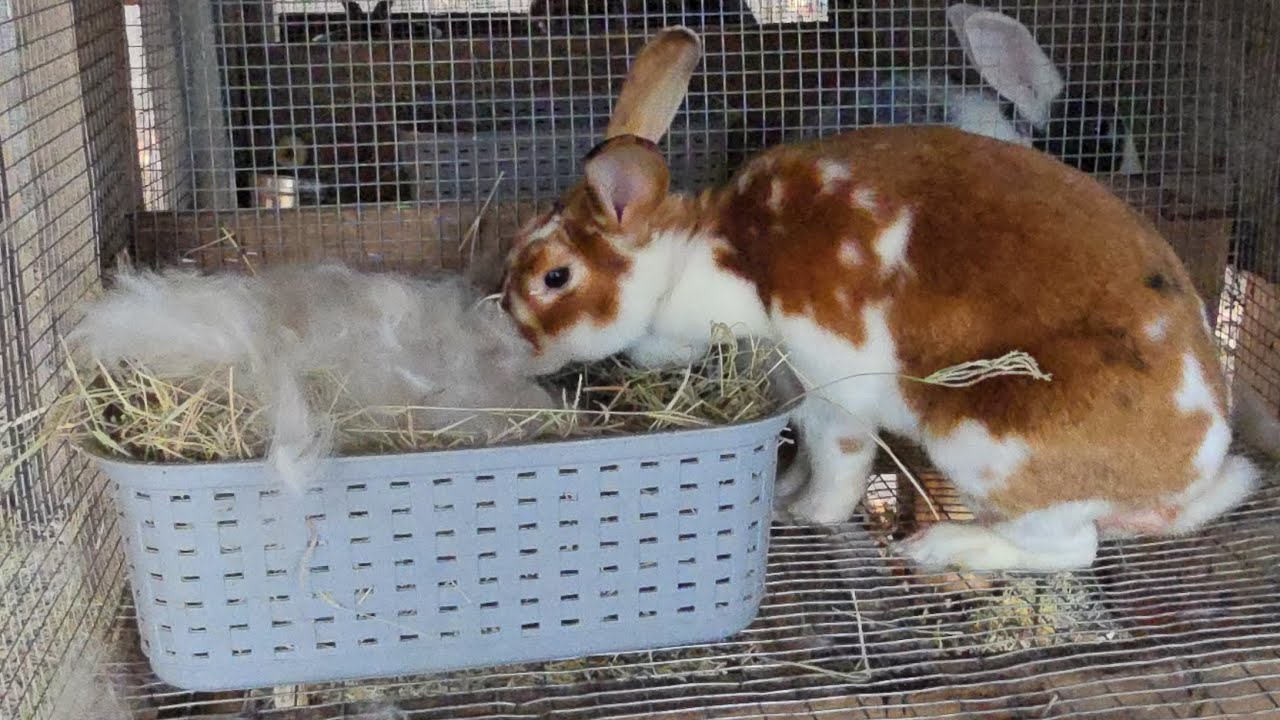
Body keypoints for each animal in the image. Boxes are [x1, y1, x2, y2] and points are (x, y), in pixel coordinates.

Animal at [497, 26, 1276, 573]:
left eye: (555, 277)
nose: (511, 338)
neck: (706, 255)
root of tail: (1193, 468)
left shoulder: (832, 383)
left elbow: (837, 459)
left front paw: (808, 516)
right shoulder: (792, 386)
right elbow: (802, 453)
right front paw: (784, 494)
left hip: (985, 439)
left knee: (1072, 549)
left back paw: (942, 548)